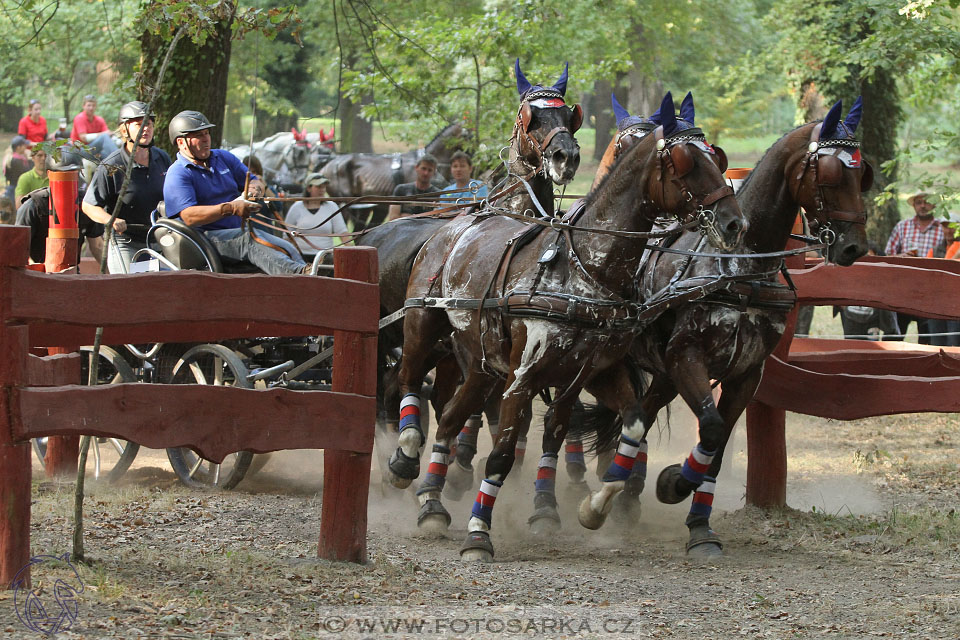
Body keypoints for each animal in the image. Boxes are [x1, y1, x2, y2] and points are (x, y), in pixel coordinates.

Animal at [386, 92, 748, 564]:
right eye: (686, 162)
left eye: (717, 158)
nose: (734, 223)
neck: (586, 269)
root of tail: (458, 223)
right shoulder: (522, 377)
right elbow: (502, 454)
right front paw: (479, 534)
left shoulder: (592, 372)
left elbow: (628, 426)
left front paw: (594, 508)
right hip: (422, 328)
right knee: (409, 381)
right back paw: (405, 457)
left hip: (480, 364)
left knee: (448, 419)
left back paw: (431, 502)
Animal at [572, 95, 872, 556]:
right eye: (831, 172)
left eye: (862, 173)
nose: (854, 246)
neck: (740, 266)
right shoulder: (687, 357)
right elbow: (711, 429)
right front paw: (674, 483)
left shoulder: (745, 373)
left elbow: (717, 442)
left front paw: (698, 524)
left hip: (658, 372)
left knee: (638, 416)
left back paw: (624, 495)